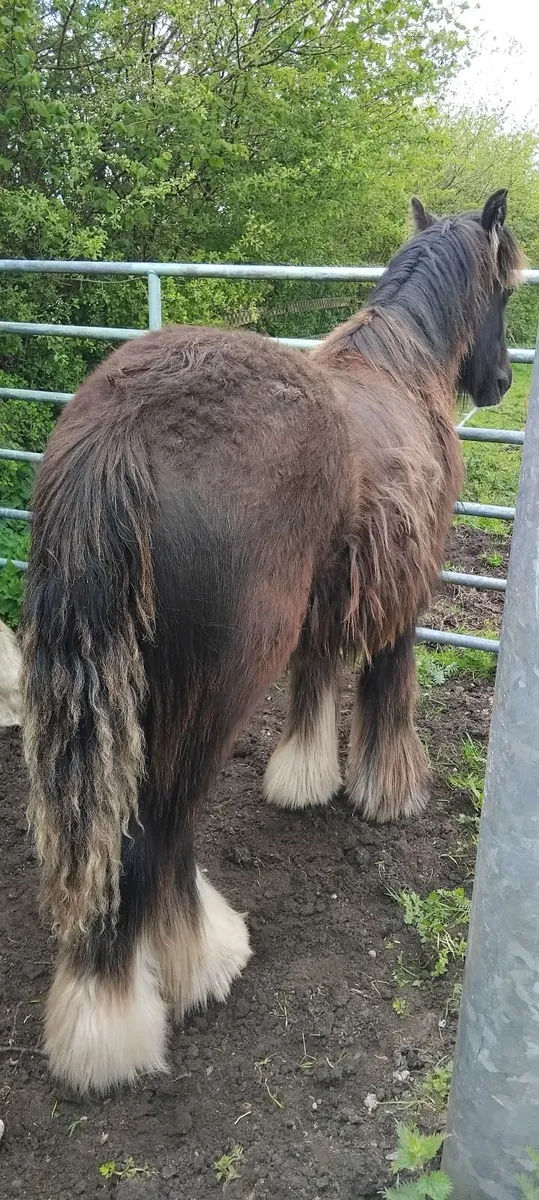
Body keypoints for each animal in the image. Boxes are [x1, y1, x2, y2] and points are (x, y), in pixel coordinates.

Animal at [21, 190, 522, 1093]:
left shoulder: (325, 601)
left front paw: (303, 778)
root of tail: (118, 433)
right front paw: (389, 790)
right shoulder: (406, 588)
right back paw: (187, 974)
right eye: (505, 286)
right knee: (158, 830)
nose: (498, 381)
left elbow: (316, 687)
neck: (400, 370)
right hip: (214, 683)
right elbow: (389, 689)